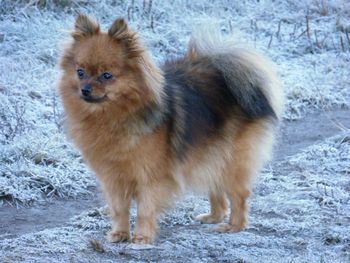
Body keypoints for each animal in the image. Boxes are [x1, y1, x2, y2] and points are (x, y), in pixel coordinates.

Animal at [58, 14, 284, 245]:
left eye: (106, 75)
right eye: (80, 72)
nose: (85, 89)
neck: (115, 116)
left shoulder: (150, 176)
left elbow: (145, 209)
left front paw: (141, 237)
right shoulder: (114, 177)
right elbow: (120, 209)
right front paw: (120, 234)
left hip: (233, 160)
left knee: (239, 195)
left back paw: (234, 226)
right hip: (211, 153)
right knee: (217, 189)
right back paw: (213, 216)